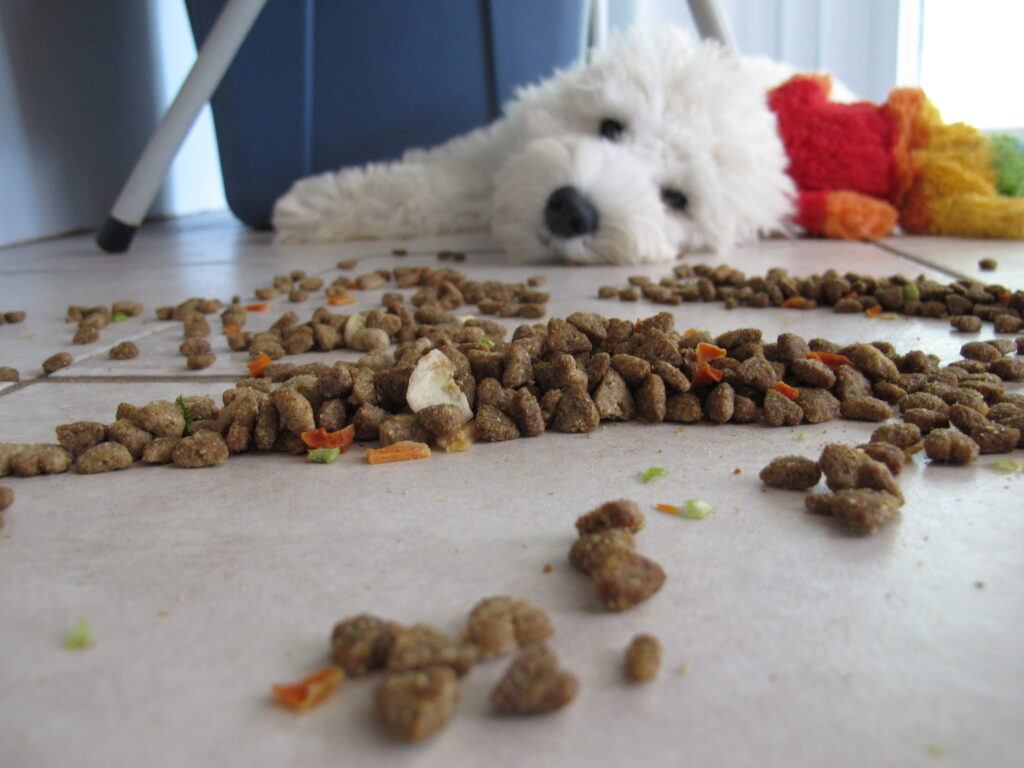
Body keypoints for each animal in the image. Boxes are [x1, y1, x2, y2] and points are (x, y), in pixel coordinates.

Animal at [272, 29, 798, 264]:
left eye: (676, 199)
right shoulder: (494, 153)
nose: (571, 211)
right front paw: (310, 205)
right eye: (610, 127)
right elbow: (422, 183)